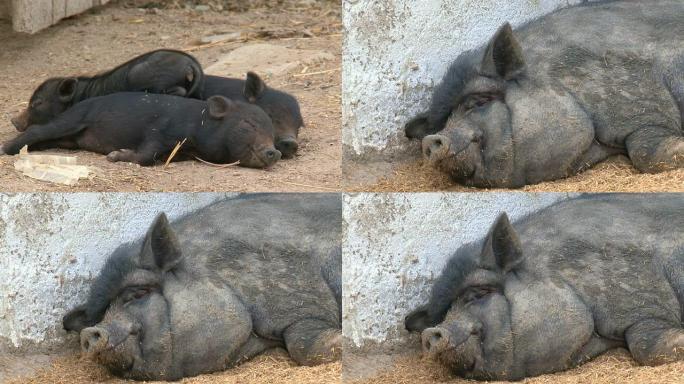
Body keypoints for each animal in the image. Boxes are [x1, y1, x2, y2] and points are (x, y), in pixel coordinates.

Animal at [0, 93, 280, 168]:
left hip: (69, 138)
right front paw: (114, 156)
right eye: (248, 125)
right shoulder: (160, 129)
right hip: (73, 119)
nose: (274, 152)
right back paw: (7, 149)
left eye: (273, 135)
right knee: (38, 130)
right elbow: (147, 154)